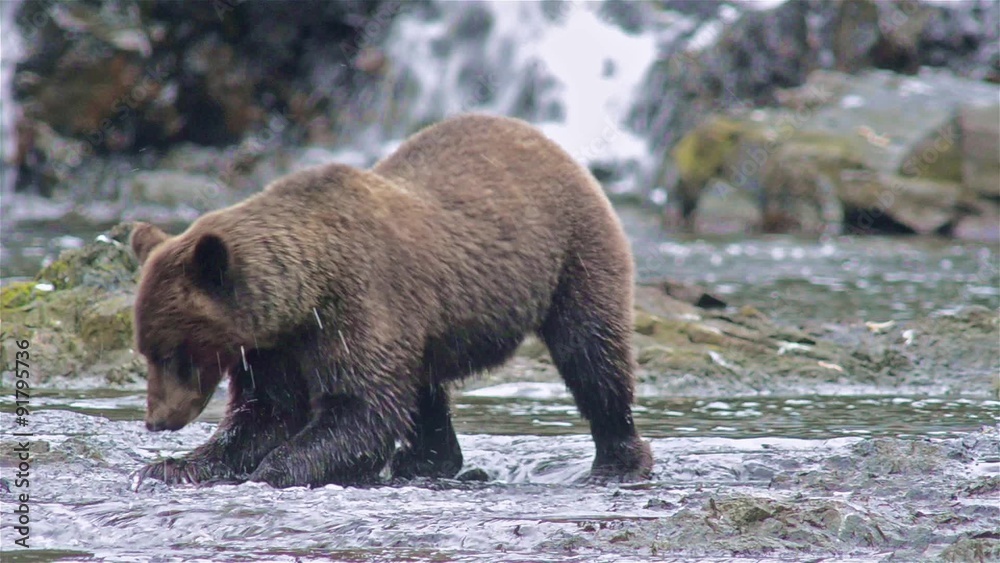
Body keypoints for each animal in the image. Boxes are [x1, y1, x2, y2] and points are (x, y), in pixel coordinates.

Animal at [130, 113, 654, 488]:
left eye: (173, 353)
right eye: (147, 351)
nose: (157, 420)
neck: (304, 296)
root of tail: (542, 138)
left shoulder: (356, 306)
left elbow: (360, 409)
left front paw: (276, 469)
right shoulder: (272, 348)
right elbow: (265, 414)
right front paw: (171, 466)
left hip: (573, 254)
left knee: (591, 354)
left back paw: (619, 458)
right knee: (425, 391)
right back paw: (426, 459)